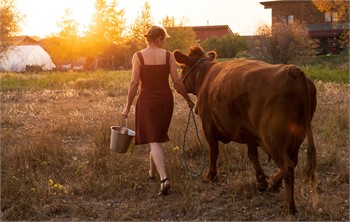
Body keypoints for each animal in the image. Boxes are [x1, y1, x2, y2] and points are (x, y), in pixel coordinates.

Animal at [175, 46, 318, 213]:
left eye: (182, 67)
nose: (176, 85)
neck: (205, 76)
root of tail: (293, 70)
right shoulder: (250, 132)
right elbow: (252, 155)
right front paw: (261, 180)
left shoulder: (208, 125)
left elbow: (213, 152)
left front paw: (211, 175)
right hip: (298, 135)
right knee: (293, 162)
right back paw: (274, 183)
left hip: (273, 139)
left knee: (288, 166)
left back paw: (289, 206)